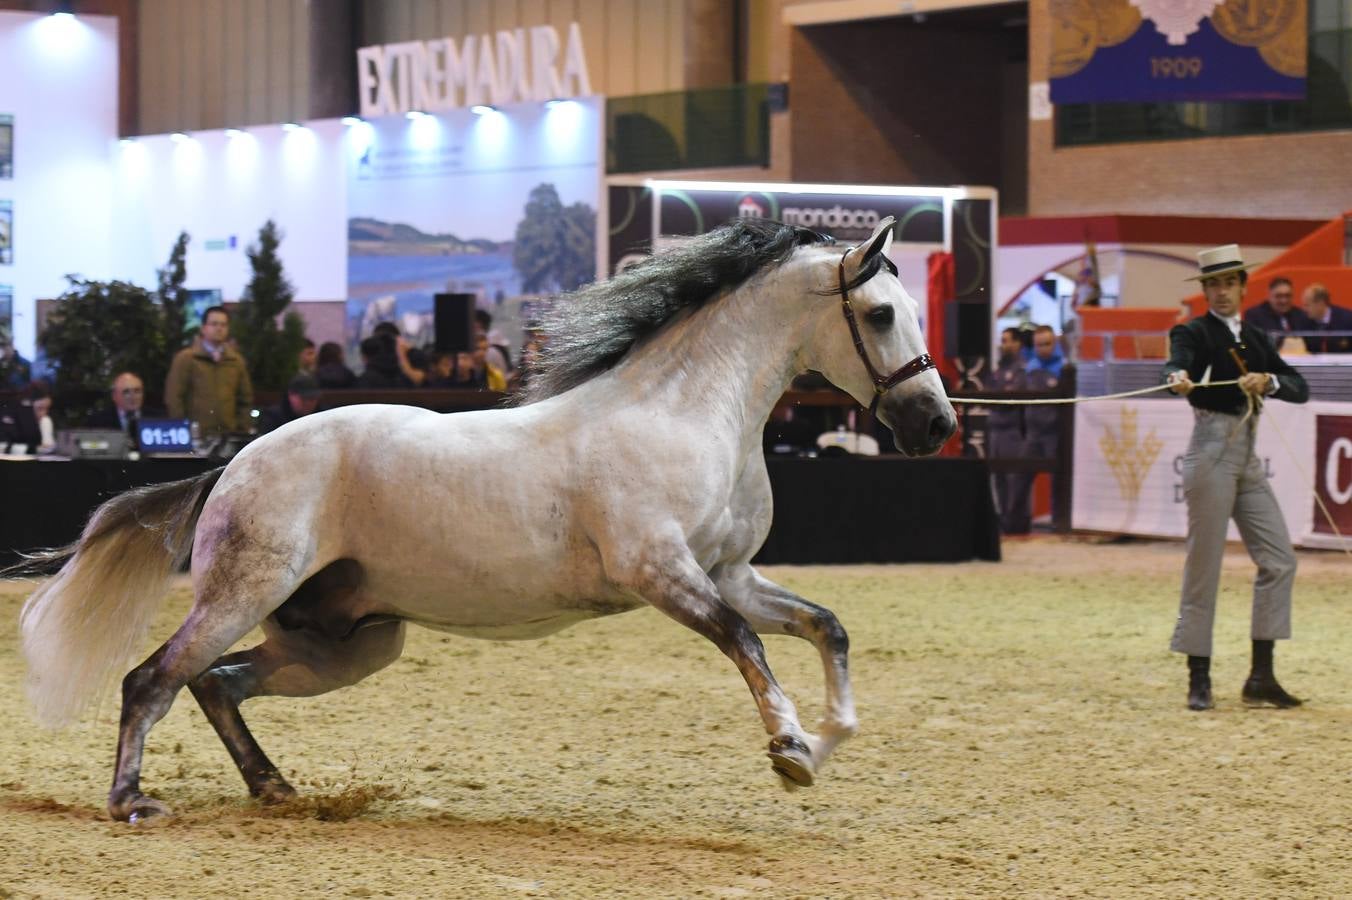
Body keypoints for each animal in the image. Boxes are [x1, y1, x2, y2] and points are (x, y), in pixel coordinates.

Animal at [15, 217, 957, 821]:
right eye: (879, 315)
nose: (936, 427)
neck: (686, 411)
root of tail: (235, 463)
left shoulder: (731, 572)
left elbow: (826, 627)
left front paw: (823, 746)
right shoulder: (664, 574)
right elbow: (748, 644)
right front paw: (790, 751)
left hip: (349, 643)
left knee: (215, 682)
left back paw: (274, 788)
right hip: (244, 594)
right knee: (153, 679)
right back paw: (132, 802)